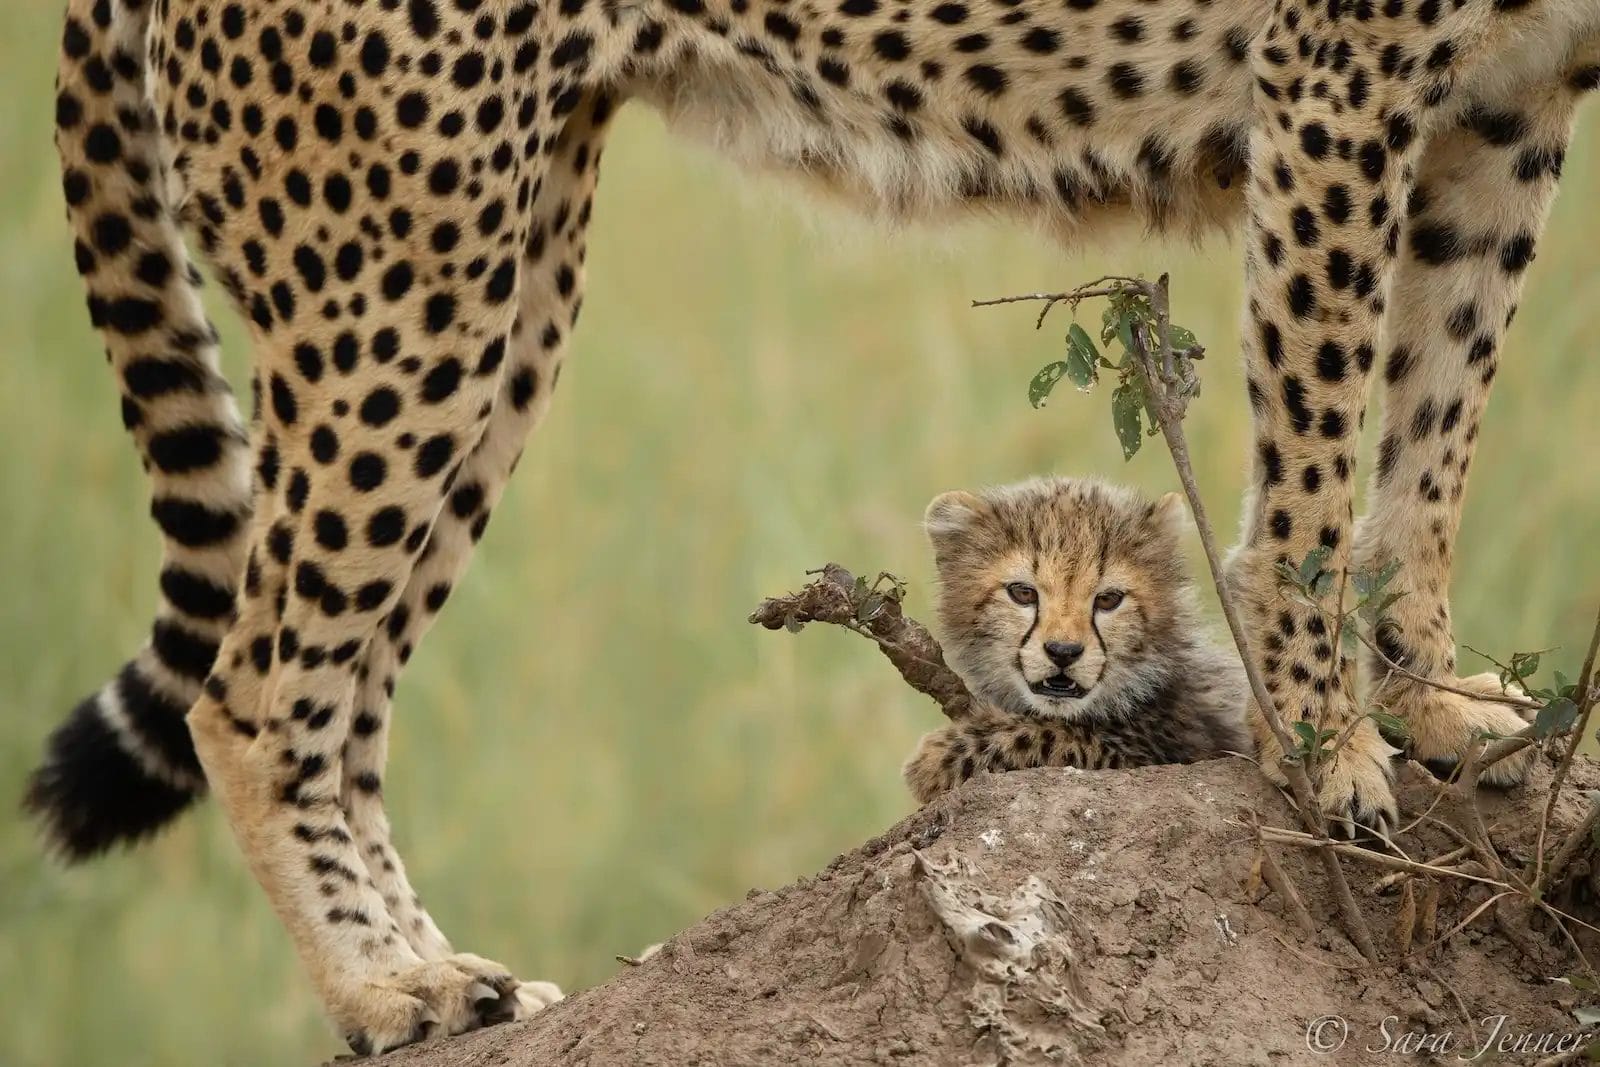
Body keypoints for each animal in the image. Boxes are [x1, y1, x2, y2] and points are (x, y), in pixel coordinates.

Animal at [902, 477, 1249, 805]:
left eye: (1108, 599)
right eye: (1023, 593)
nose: (1063, 652)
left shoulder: (1173, 750)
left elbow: (1062, 735)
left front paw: (937, 757)